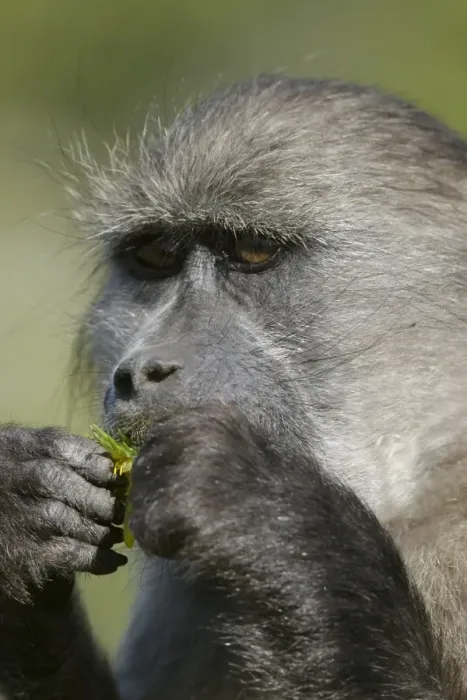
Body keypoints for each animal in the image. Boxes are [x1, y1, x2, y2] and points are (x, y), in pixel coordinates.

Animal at [0, 73, 466, 699]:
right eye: (155, 256)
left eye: (253, 251)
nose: (141, 371)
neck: (417, 493)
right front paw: (17, 513)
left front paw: (271, 519)